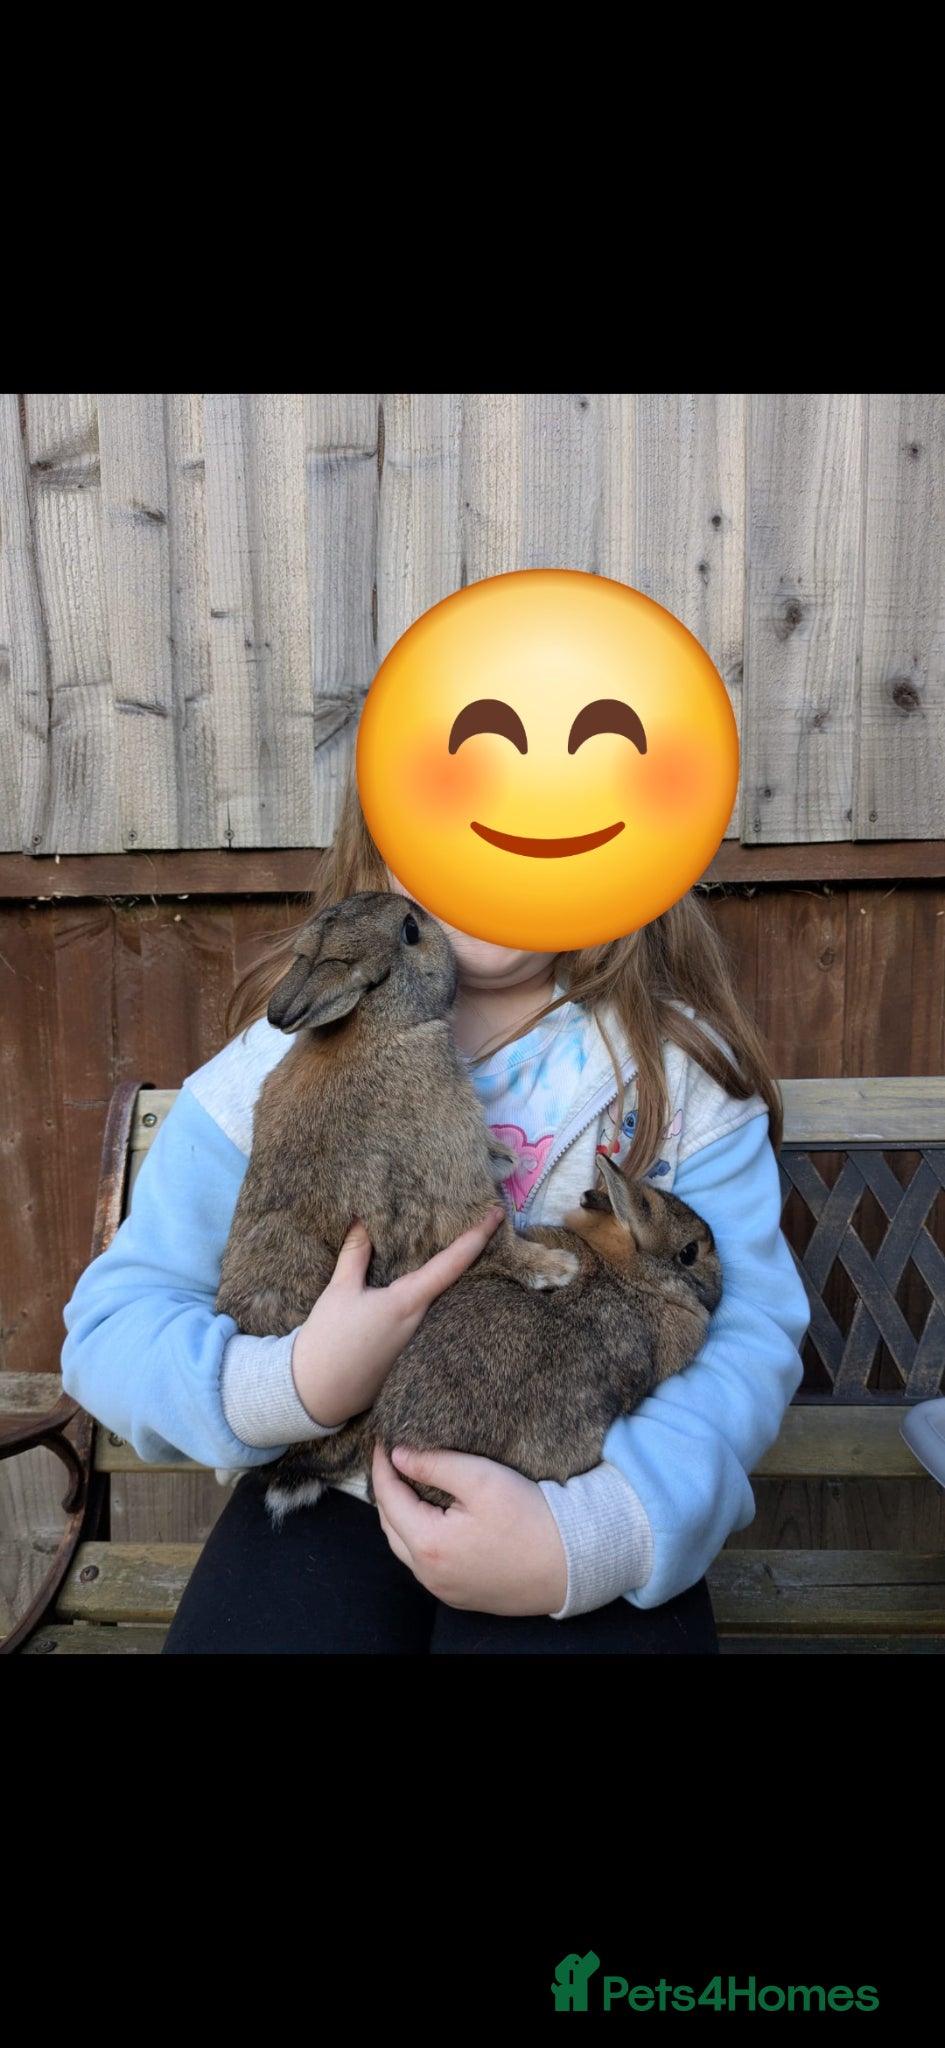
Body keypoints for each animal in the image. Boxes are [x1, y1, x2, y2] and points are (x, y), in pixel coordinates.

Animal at [216, 887, 580, 1371]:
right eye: (410, 931)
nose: (429, 915)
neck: (378, 1022)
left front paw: (505, 1157)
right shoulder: (450, 1170)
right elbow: (495, 1235)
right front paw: (557, 1267)